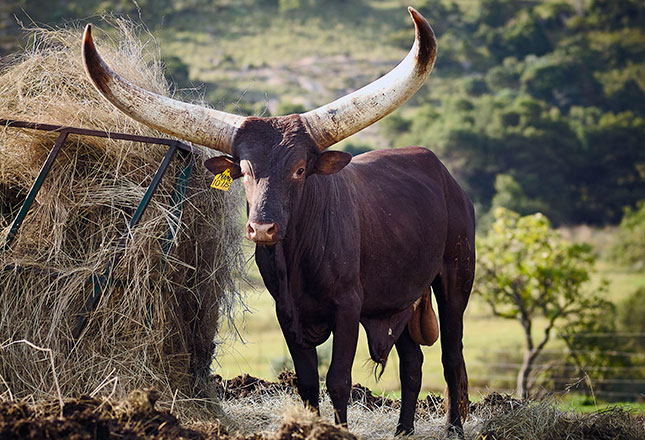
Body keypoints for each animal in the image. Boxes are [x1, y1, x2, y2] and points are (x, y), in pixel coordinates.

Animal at [82, 7, 472, 436]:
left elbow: (338, 379)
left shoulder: (348, 306)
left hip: (455, 278)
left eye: (300, 169)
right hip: (398, 298)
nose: (262, 229)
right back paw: (403, 430)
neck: (296, 259)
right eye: (244, 170)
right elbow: (306, 381)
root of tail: (445, 176)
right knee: (413, 362)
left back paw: (454, 428)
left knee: (452, 356)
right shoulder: (287, 311)